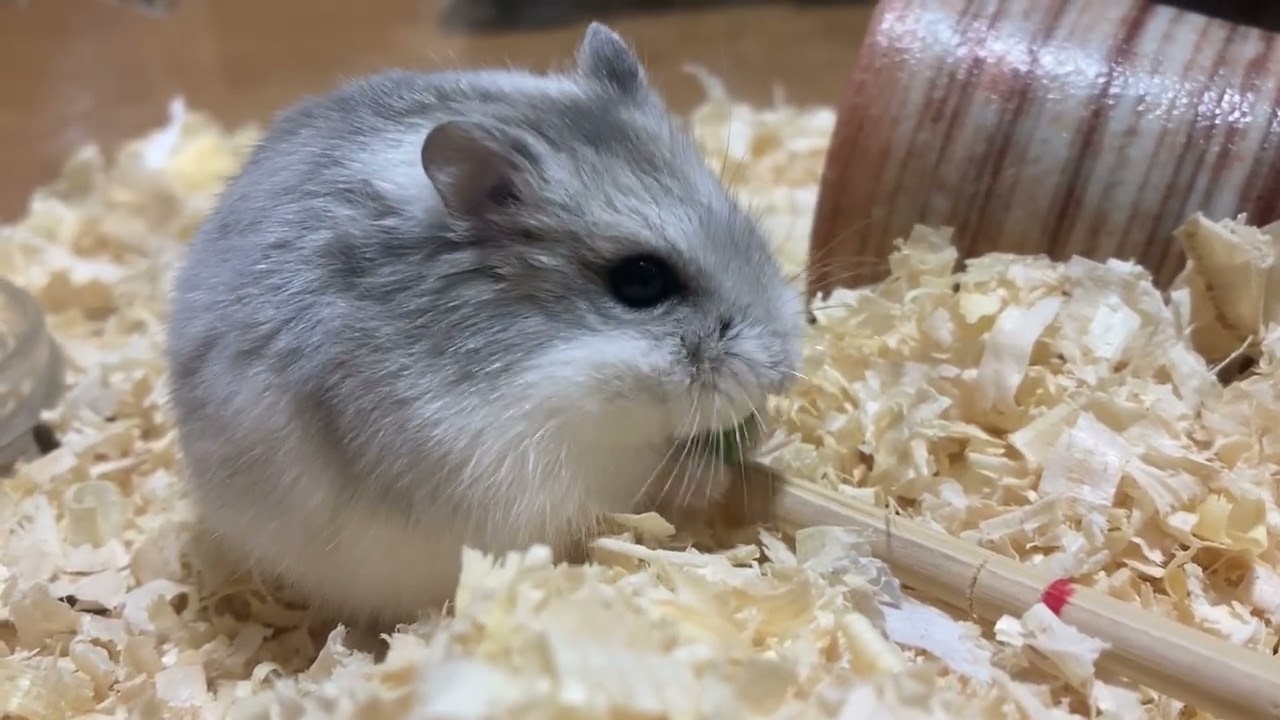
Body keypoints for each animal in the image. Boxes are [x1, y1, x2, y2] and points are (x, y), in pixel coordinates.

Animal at [165, 22, 803, 625]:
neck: (545, 359)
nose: (783, 373)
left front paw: (757, 436)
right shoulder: (529, 467)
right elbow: (649, 474)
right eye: (641, 280)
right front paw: (713, 475)